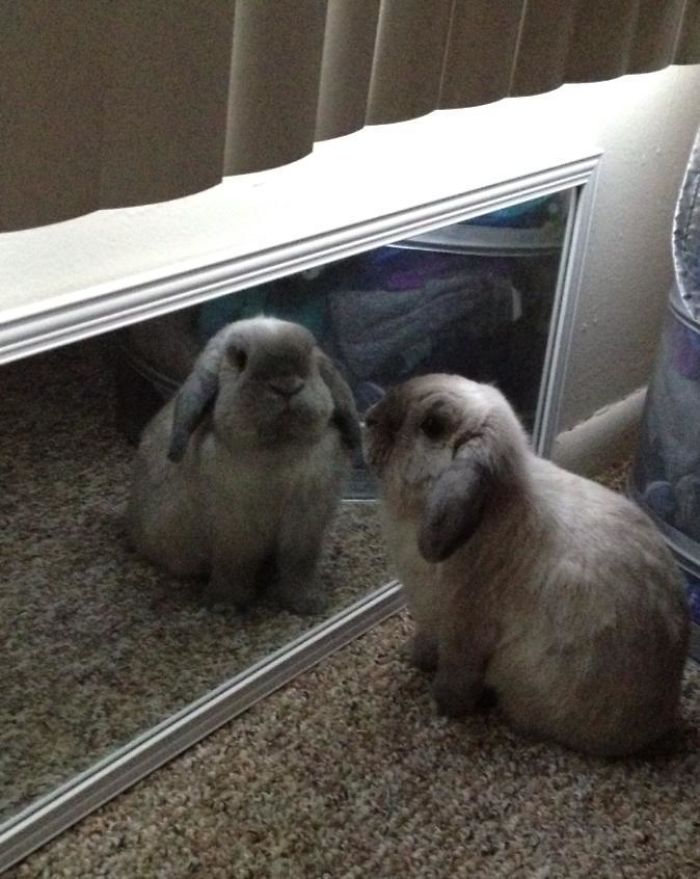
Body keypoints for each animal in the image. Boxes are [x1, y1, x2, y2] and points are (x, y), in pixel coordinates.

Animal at [127, 316, 360, 614]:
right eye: (240, 359)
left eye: (309, 352)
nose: (286, 386)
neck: (278, 447)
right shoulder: (235, 532)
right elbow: (234, 567)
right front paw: (225, 605)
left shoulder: (306, 529)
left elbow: (299, 567)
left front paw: (308, 604)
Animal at [363, 373, 691, 757]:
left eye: (432, 425)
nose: (368, 418)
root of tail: (658, 727)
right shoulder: (430, 619)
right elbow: (426, 644)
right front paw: (413, 657)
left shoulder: (465, 631)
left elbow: (456, 675)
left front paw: (443, 704)